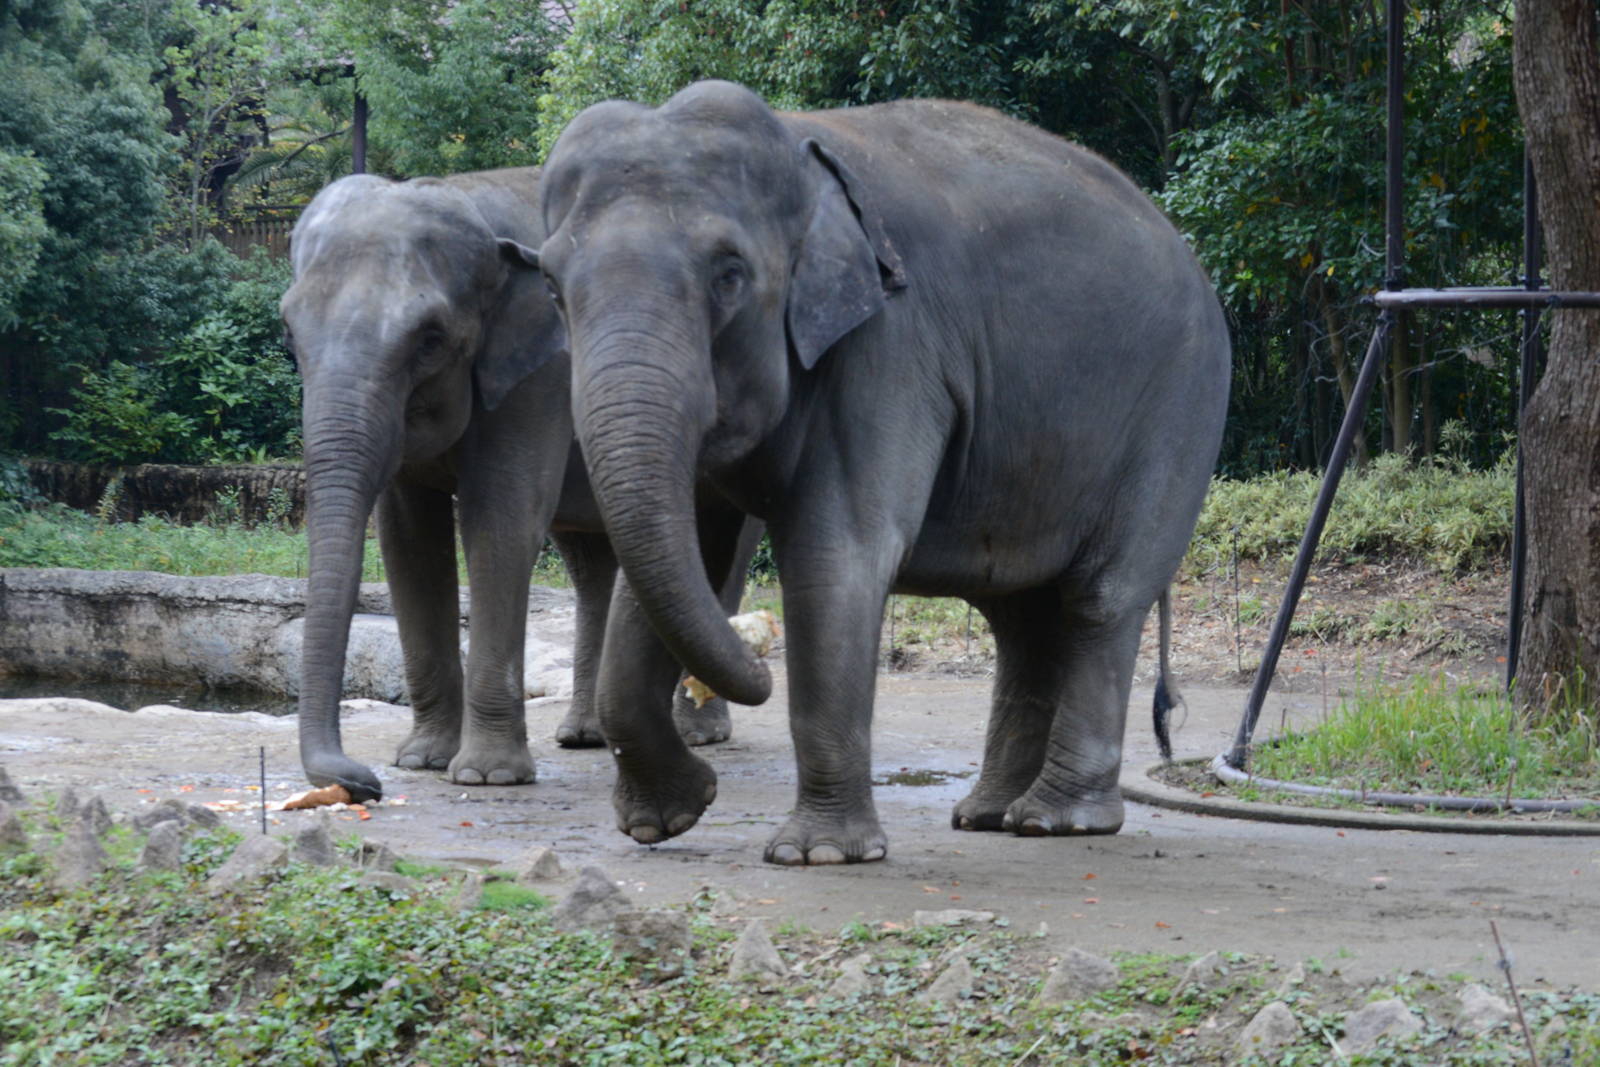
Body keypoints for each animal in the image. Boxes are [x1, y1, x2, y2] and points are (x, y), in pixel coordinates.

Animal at [280, 167, 758, 803]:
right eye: (288, 331)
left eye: (430, 339)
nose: (363, 783)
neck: (469, 199)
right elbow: (409, 542)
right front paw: (423, 761)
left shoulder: (542, 375)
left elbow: (498, 524)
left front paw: (486, 776)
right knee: (591, 559)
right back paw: (586, 736)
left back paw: (699, 732)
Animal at [523, 81, 1230, 865]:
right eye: (550, 285)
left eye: (730, 275)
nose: (757, 665)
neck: (798, 150)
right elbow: (690, 556)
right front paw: (666, 820)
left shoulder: (891, 343)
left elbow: (839, 552)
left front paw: (818, 855)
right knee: (1022, 616)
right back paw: (987, 816)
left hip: (1179, 413)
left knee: (1100, 600)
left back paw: (1057, 821)